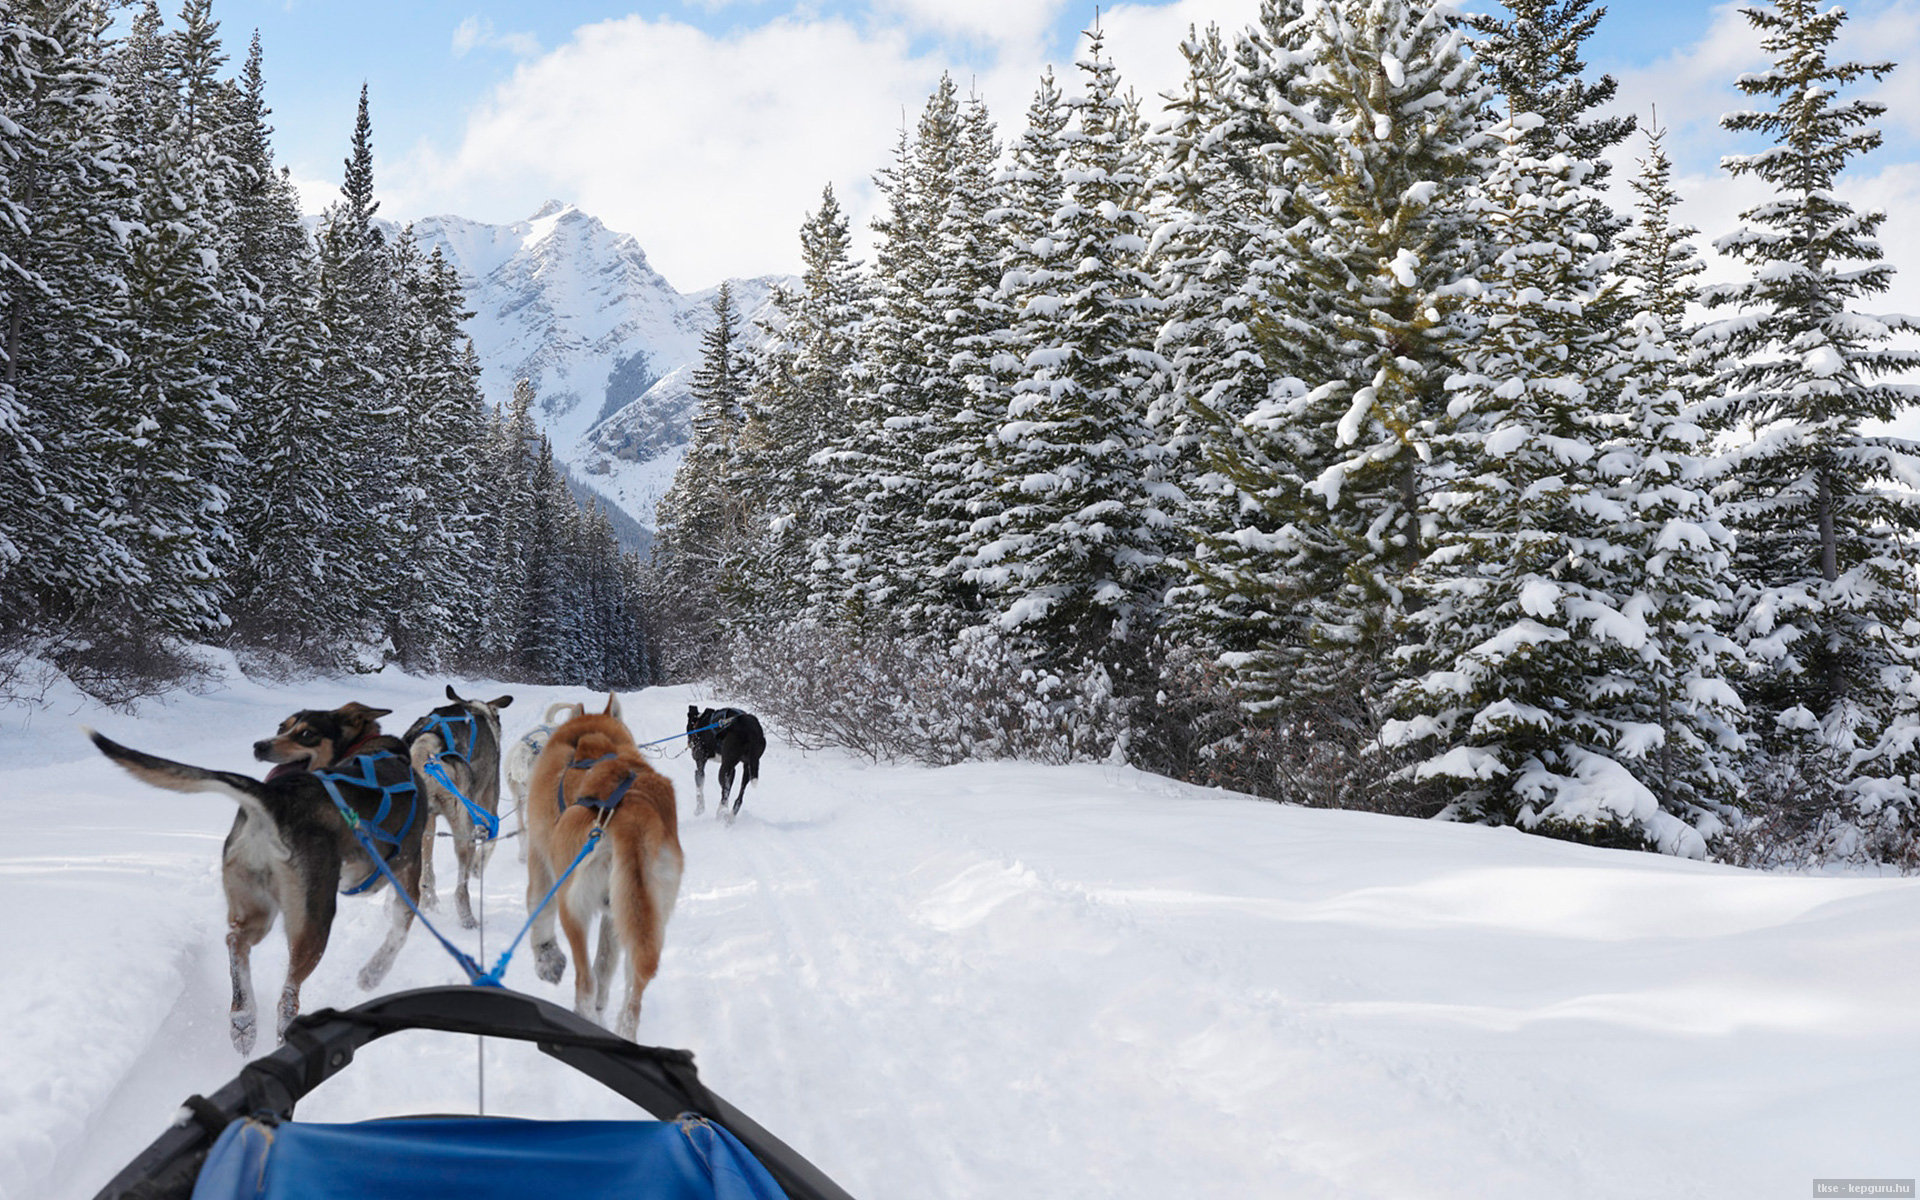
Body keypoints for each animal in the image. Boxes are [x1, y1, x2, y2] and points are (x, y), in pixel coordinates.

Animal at [405, 683, 514, 925]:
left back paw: (425, 905)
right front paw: (477, 868)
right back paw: (468, 918)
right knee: (460, 887)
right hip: (463, 824)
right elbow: (490, 840)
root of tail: (428, 745)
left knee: (424, 877)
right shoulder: (488, 803)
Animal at [526, 698, 683, 1036]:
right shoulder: (613, 915)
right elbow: (605, 968)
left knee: (585, 982)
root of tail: (632, 816)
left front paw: (546, 960)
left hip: (573, 908)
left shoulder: (540, 861)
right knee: (628, 990)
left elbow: (538, 912)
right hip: (644, 916)